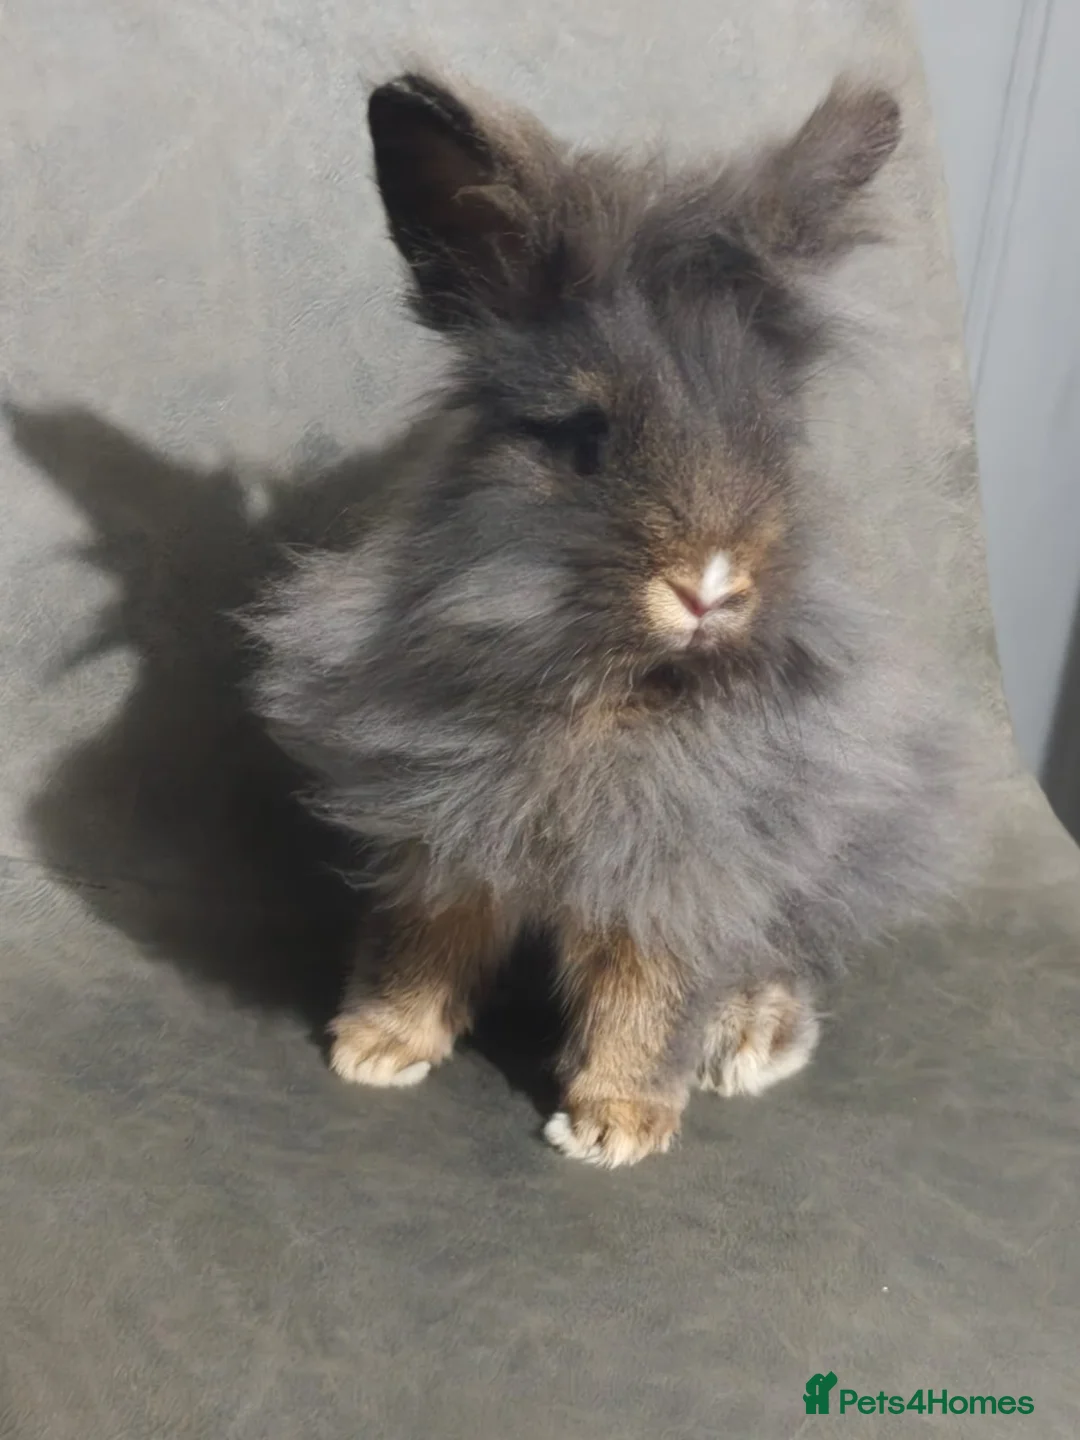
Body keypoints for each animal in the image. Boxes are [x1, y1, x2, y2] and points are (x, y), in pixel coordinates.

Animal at [249, 70, 971, 1167]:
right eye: (585, 440)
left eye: (775, 439)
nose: (710, 584)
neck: (604, 695)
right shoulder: (441, 831)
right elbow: (426, 939)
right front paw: (374, 1049)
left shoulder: (683, 866)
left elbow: (649, 991)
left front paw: (615, 1127)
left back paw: (751, 1039)